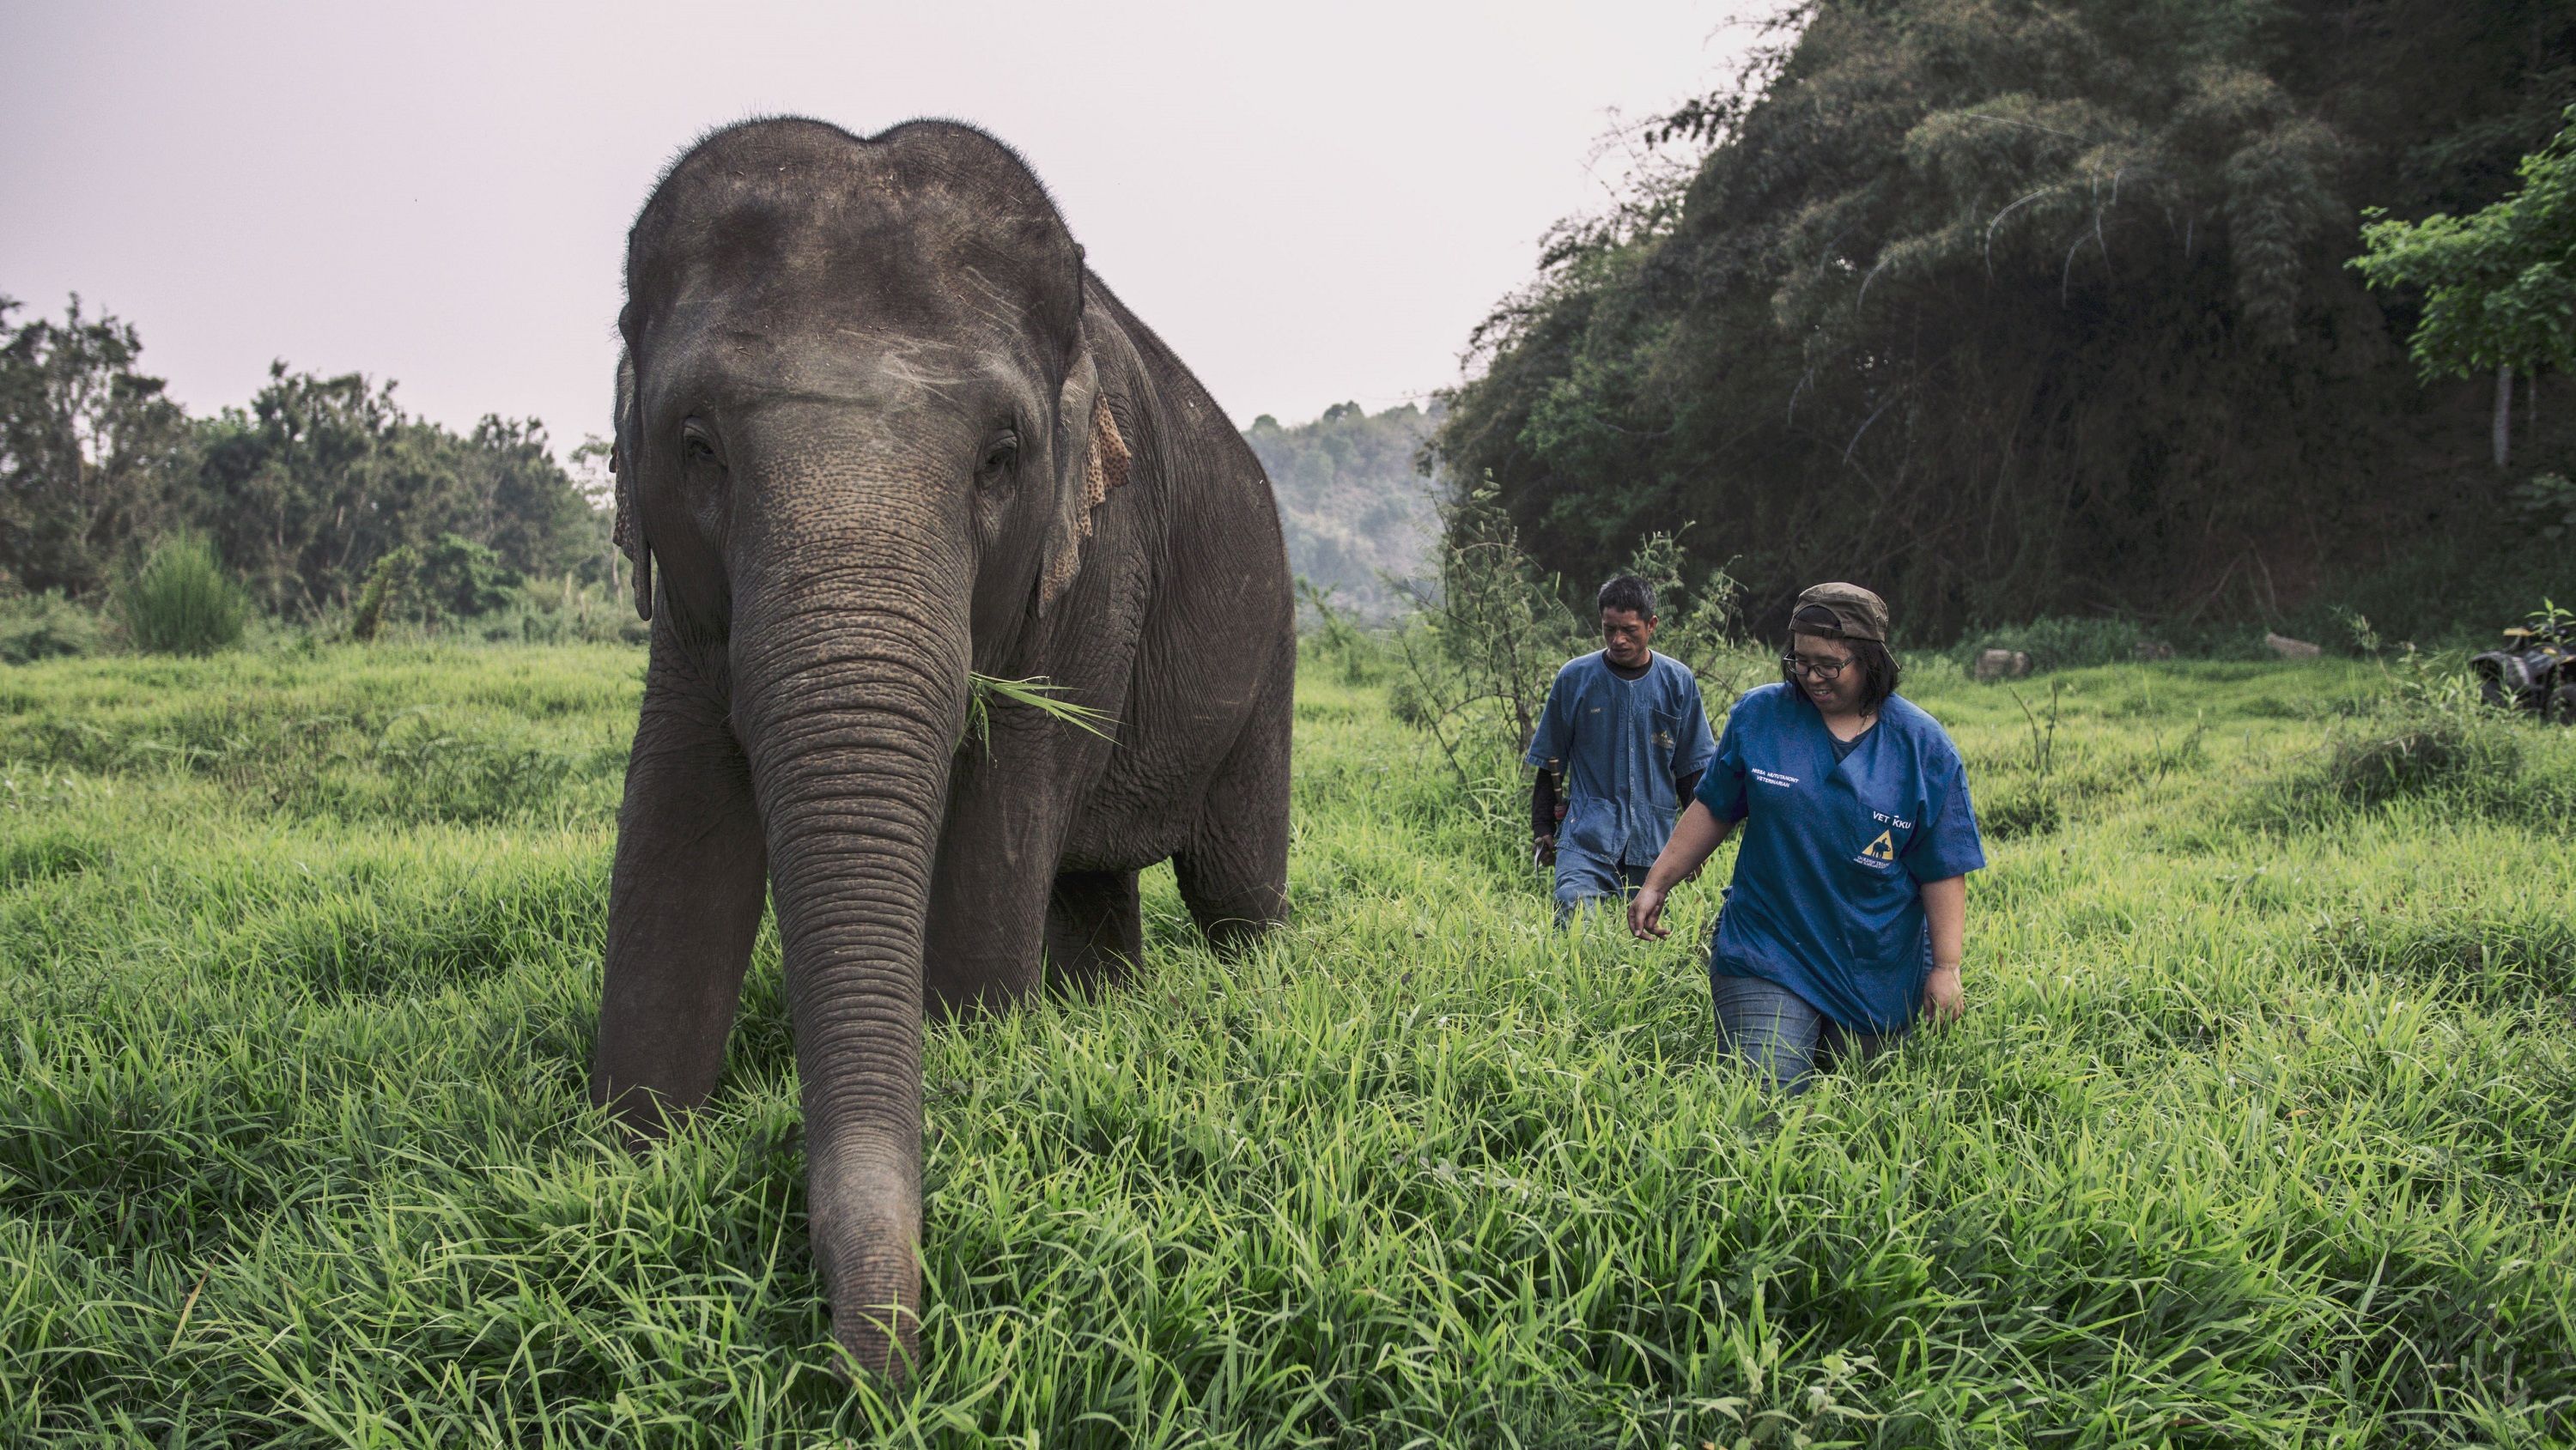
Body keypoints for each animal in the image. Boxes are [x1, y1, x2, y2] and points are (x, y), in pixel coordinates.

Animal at [592, 118, 1298, 1380]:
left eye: (1001, 456)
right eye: (696, 446)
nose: (866, 1380)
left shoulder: (1095, 562)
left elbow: (991, 851)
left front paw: (979, 1063)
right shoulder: (685, 612)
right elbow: (673, 838)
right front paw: (634, 1159)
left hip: (1268, 649)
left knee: (1235, 890)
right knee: (1090, 893)